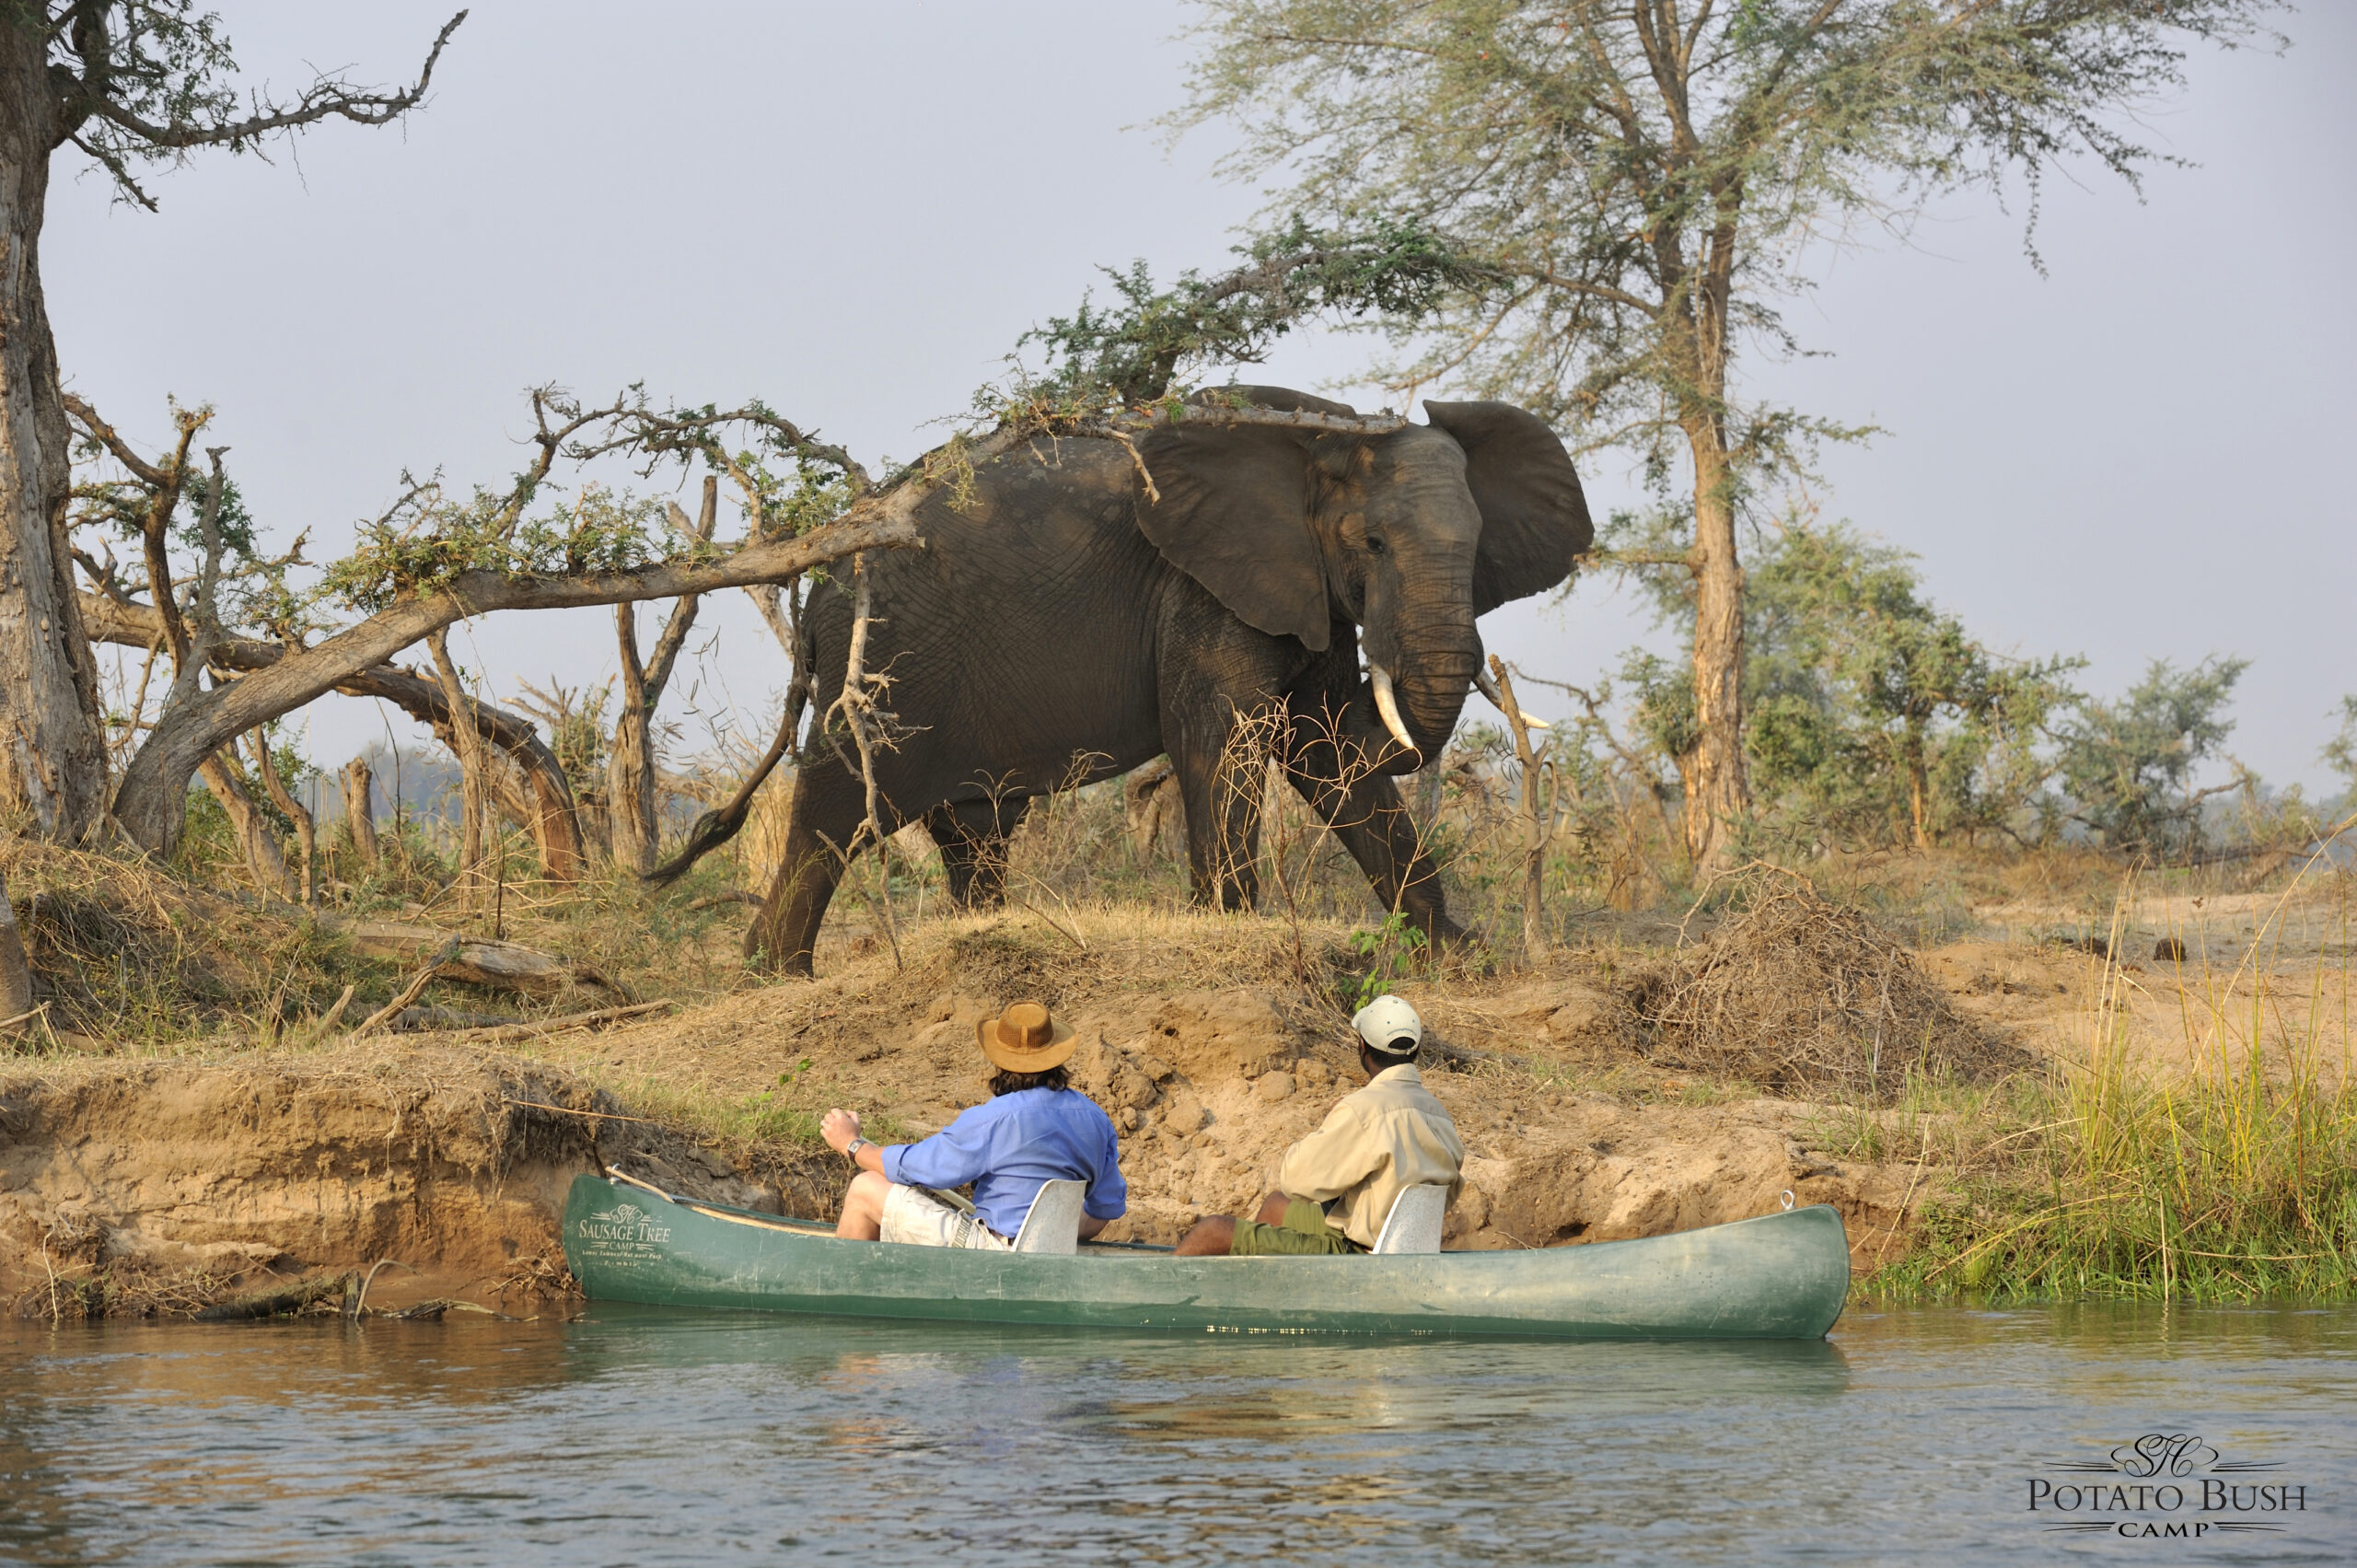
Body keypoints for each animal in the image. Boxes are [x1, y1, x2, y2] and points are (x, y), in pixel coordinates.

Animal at [744, 386, 1593, 971]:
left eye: (1478, 545)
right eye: (1374, 543)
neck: (1318, 441)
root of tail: (819, 581)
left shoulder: (1302, 583)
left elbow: (1319, 750)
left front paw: (1457, 954)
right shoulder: (1208, 583)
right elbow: (1230, 736)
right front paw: (1227, 925)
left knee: (974, 830)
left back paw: (979, 931)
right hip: (887, 660)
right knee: (836, 806)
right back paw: (776, 975)